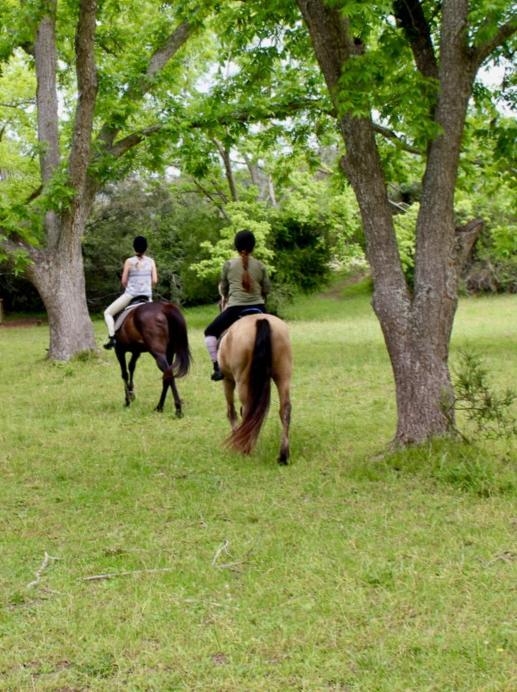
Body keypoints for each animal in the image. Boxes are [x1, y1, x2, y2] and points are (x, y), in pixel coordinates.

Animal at [216, 314, 292, 464]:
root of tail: (261, 320)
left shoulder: (227, 380)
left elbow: (231, 412)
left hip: (242, 381)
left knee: (247, 411)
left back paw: (246, 449)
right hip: (283, 375)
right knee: (285, 409)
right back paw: (283, 455)